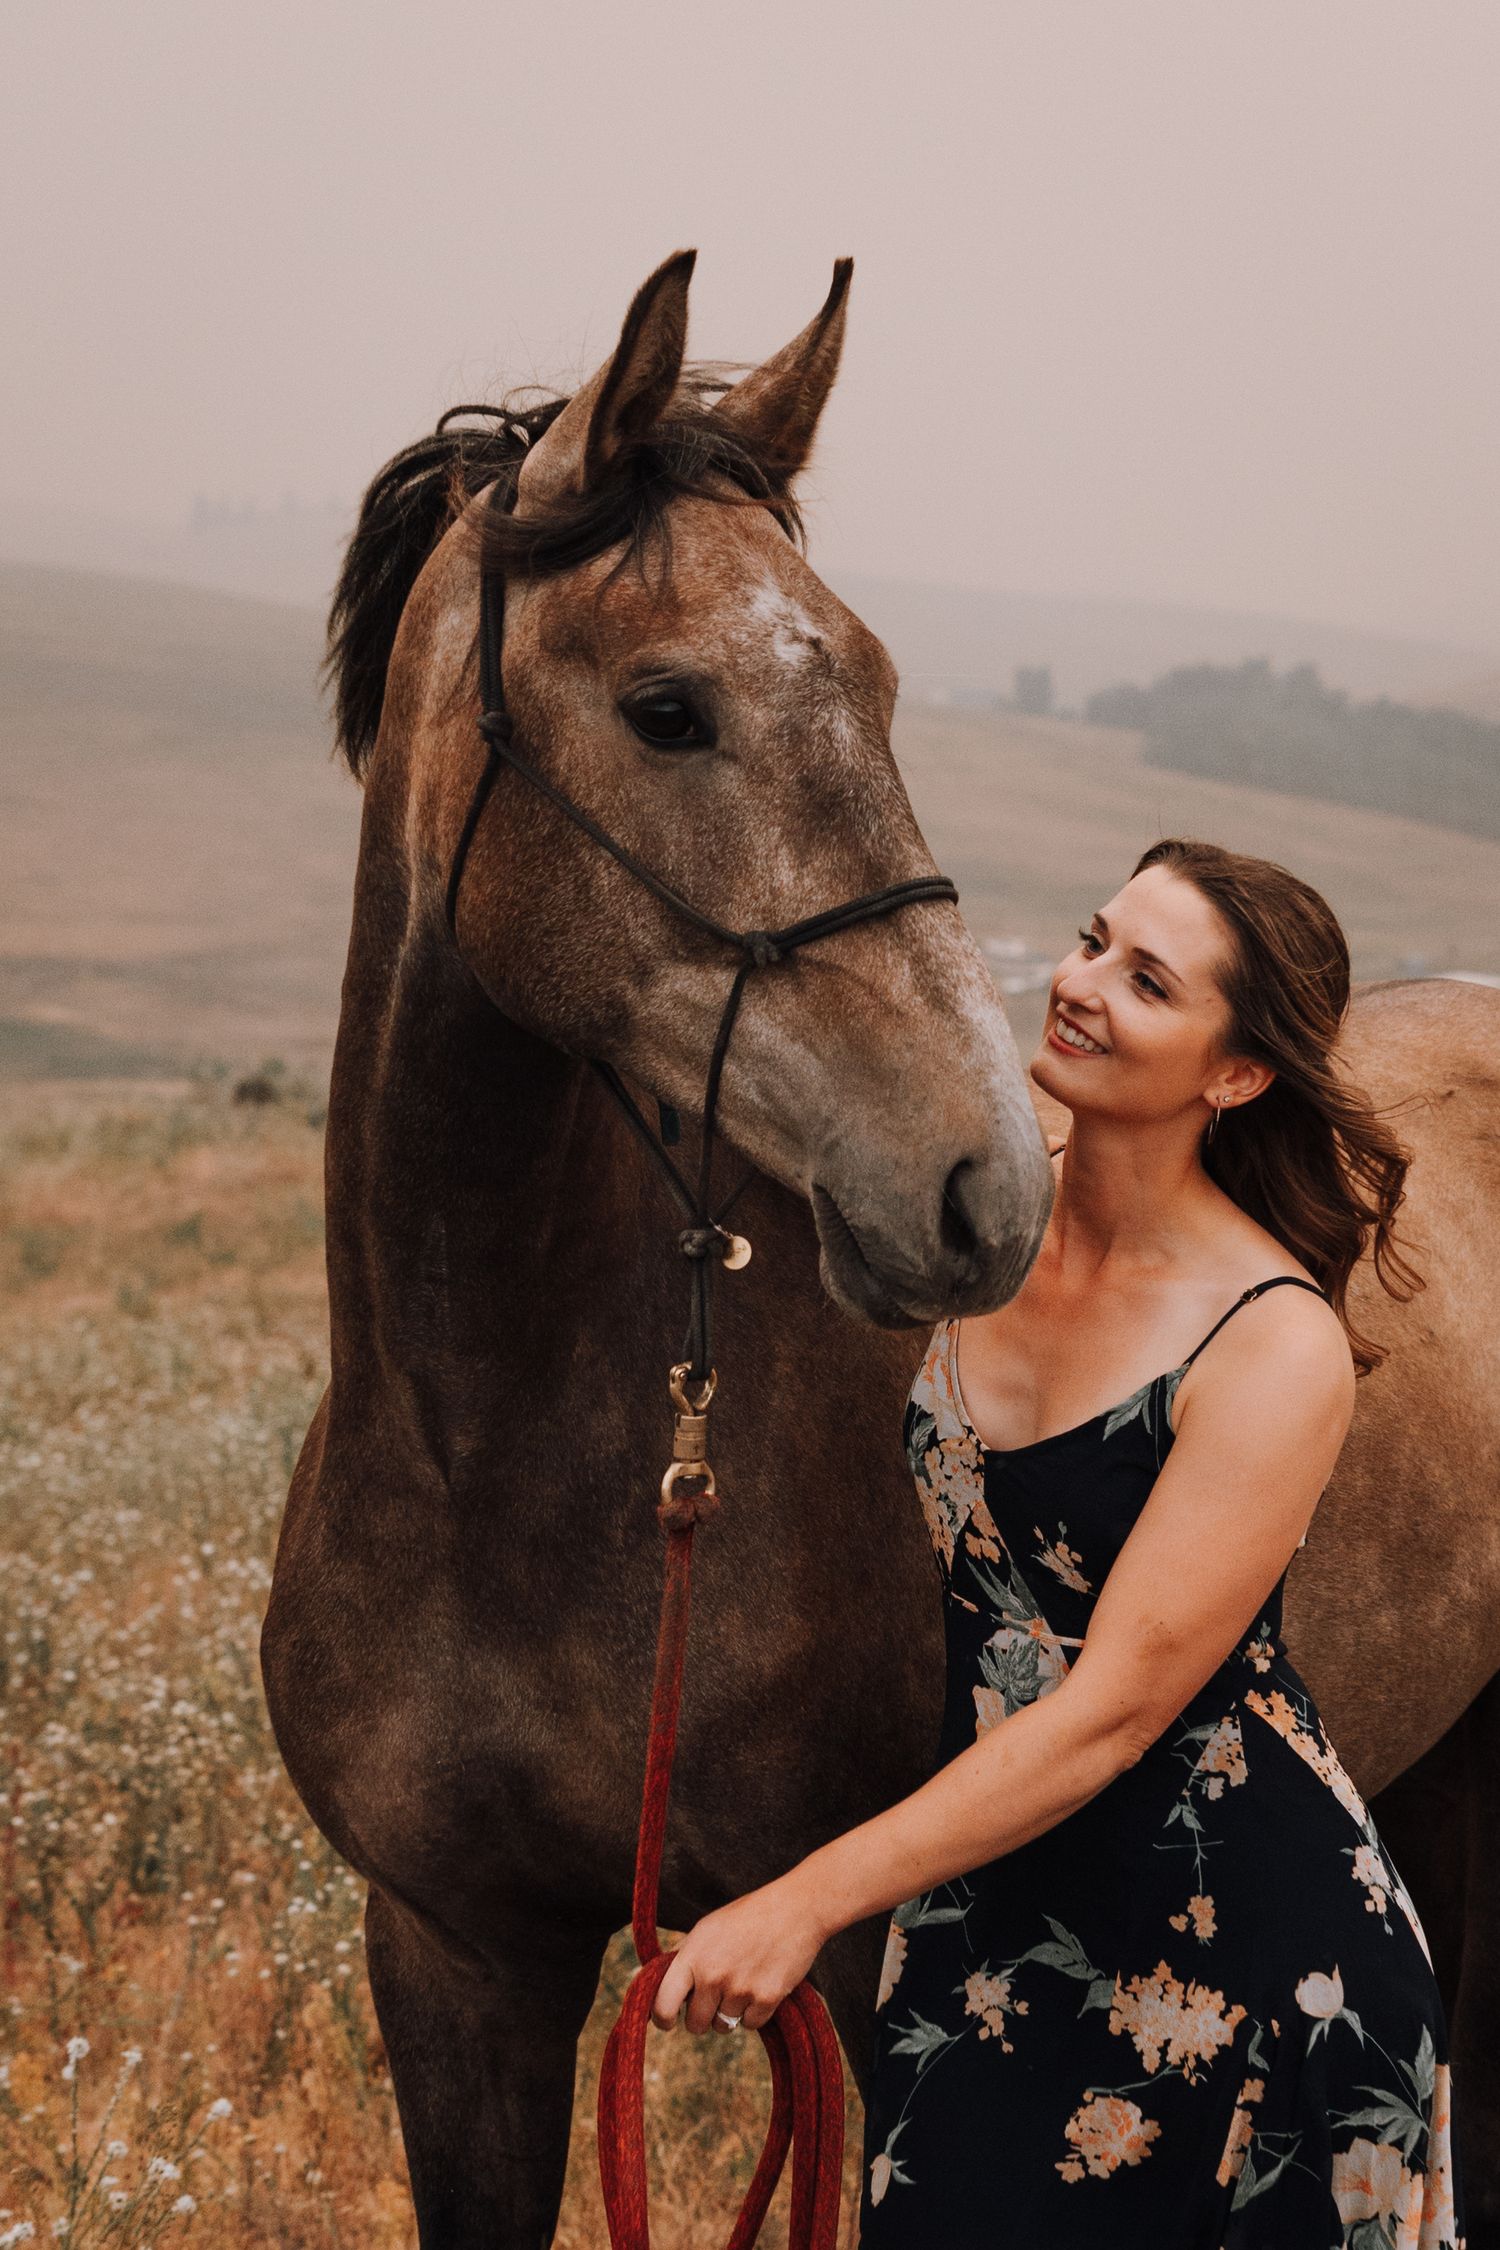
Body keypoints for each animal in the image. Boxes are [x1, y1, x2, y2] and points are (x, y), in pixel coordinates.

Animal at [261, 252, 1500, 2245]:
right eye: (667, 707)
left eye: (886, 684)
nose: (980, 1183)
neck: (493, 1448)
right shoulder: (451, 1955)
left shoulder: (846, 1974)